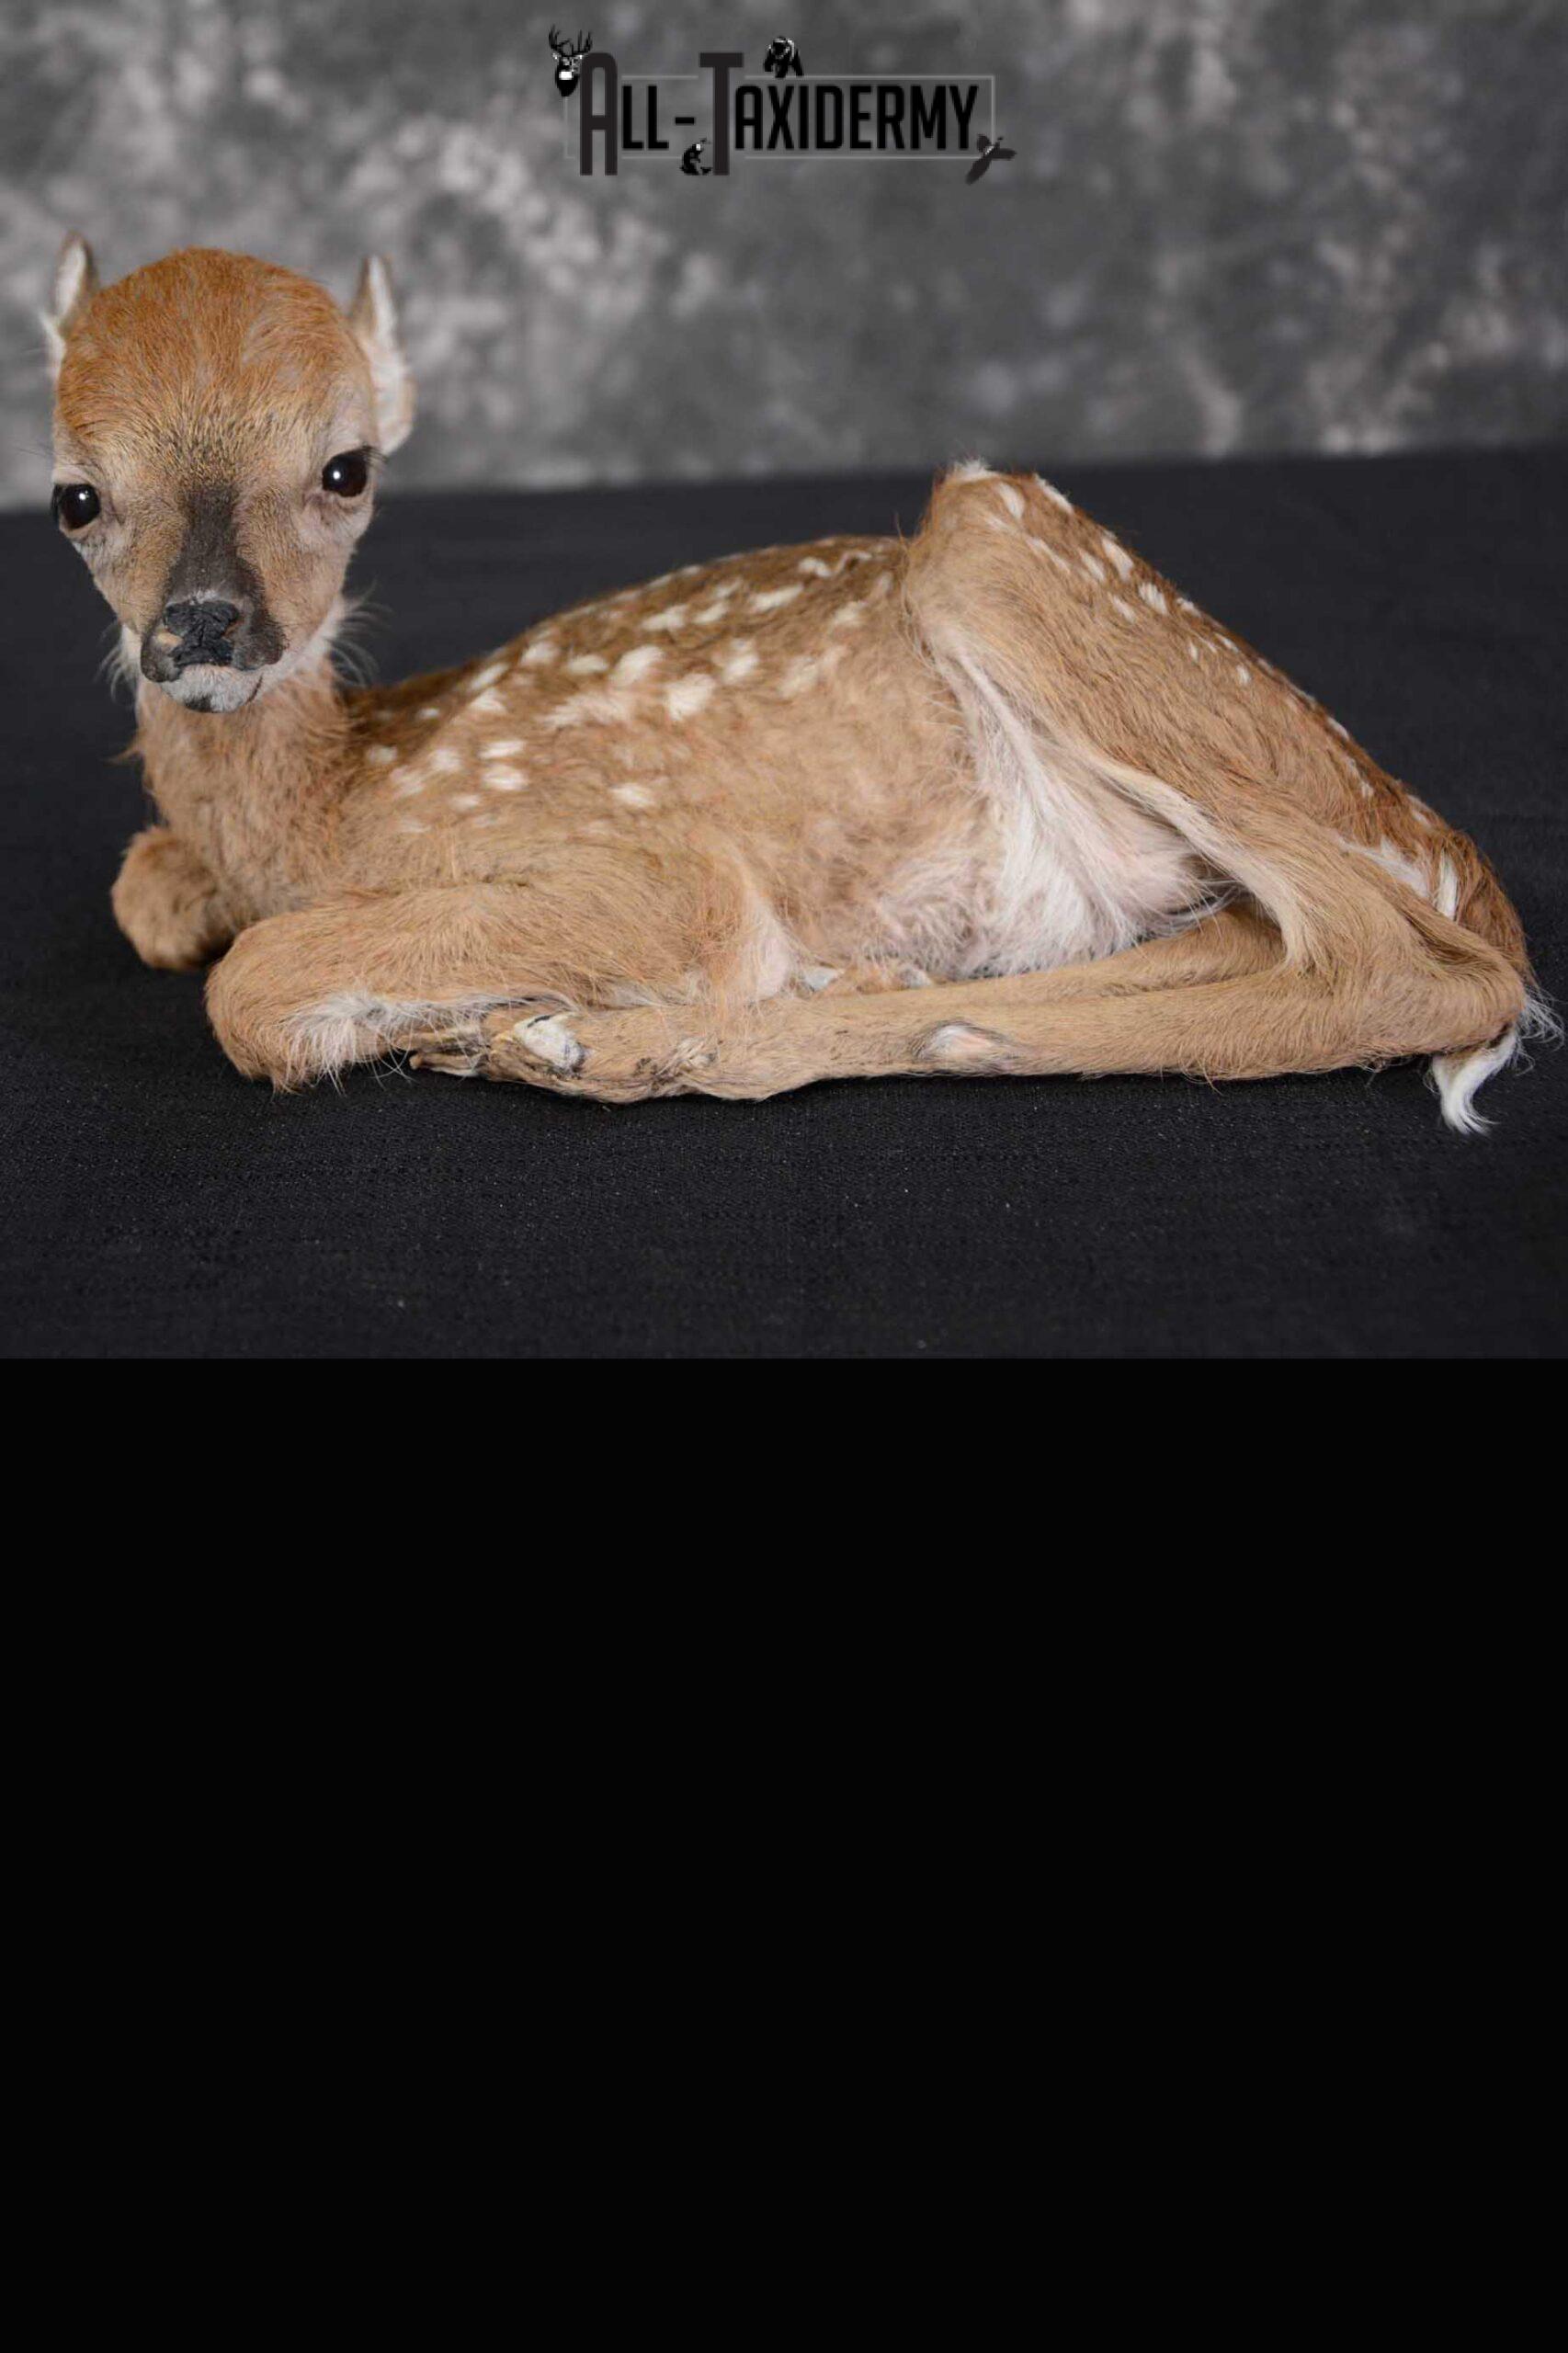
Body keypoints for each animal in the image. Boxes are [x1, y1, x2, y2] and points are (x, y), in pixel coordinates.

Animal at [43, 238, 1548, 1129]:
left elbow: (250, 984)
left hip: (1000, 541)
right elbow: (151, 894)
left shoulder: (646, 862)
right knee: (1256, 934)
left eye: (345, 468)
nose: (206, 629)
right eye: (75, 496)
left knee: (1408, 969)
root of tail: (1438, 837)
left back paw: (625, 1040)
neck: (335, 809)